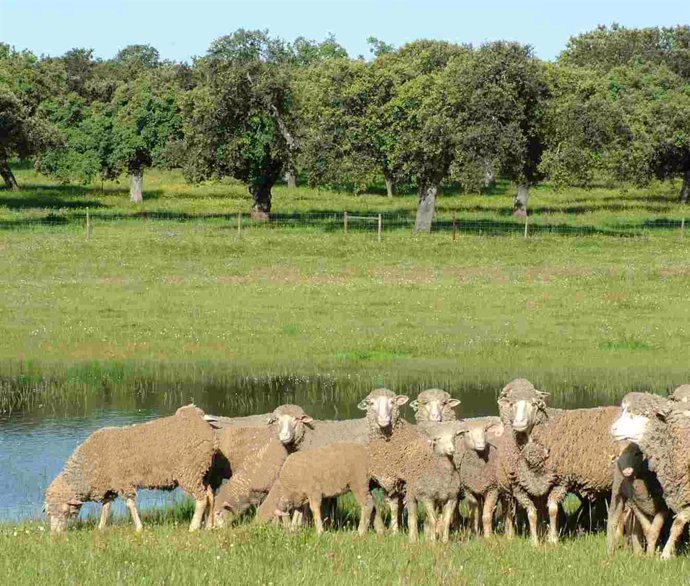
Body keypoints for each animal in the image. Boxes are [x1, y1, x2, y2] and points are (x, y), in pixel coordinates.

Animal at [44, 404, 216, 532]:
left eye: (64, 511)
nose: (55, 536)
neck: (88, 468)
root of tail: (200, 421)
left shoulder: (123, 482)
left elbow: (130, 505)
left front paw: (139, 528)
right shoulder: (109, 486)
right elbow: (106, 507)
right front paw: (100, 527)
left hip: (189, 472)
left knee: (201, 499)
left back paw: (193, 527)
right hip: (203, 472)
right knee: (210, 496)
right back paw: (208, 526)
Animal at [494, 378, 620, 544]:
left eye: (534, 404)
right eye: (512, 404)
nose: (519, 423)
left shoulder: (561, 480)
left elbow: (553, 509)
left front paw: (553, 539)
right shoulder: (520, 486)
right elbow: (532, 513)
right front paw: (535, 541)